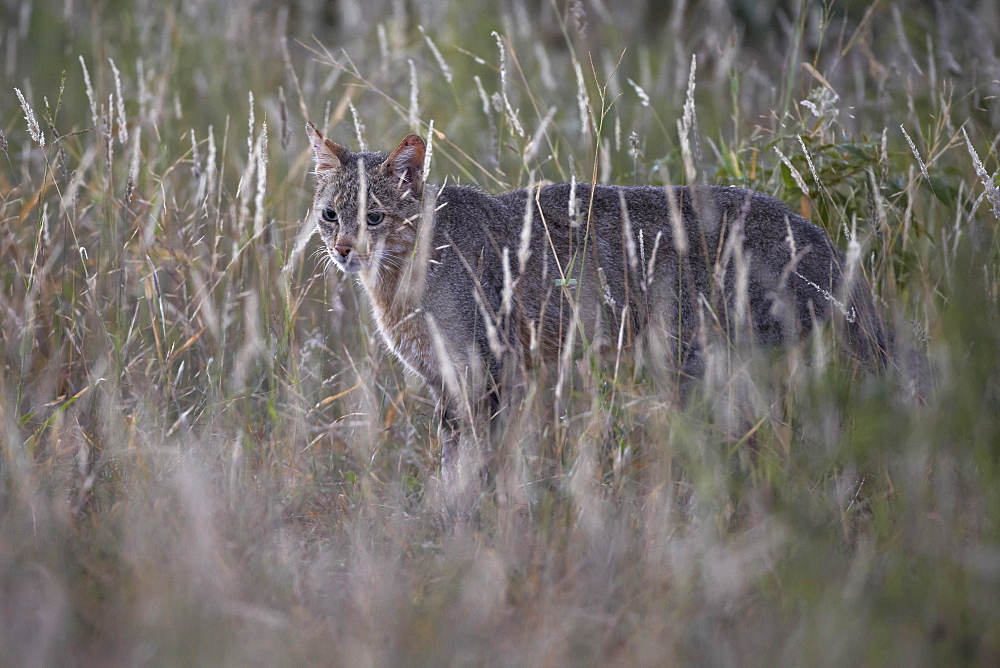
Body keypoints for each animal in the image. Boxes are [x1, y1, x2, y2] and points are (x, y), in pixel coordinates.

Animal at [308, 122, 888, 462]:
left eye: (374, 217)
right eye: (330, 215)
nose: (343, 249)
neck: (397, 285)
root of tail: (820, 237)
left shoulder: (487, 371)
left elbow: (478, 465)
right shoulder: (445, 384)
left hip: (698, 366)